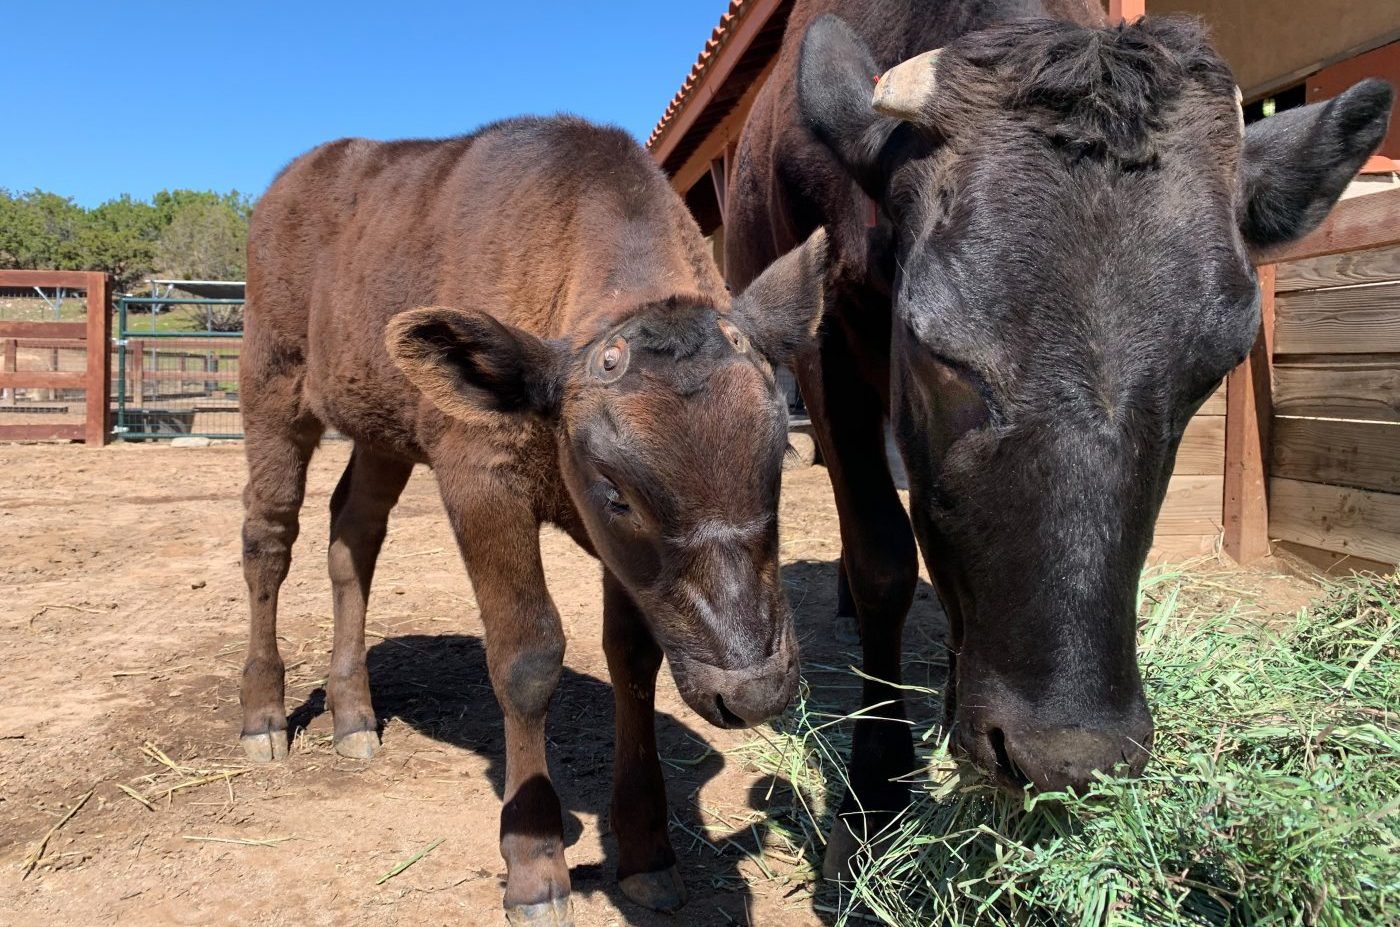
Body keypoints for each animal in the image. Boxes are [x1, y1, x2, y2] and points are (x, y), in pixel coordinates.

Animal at [238, 115, 827, 925]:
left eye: (779, 458)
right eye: (617, 492)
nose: (754, 690)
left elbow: (633, 657)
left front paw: (647, 851)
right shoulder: (479, 478)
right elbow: (527, 657)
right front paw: (535, 864)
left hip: (383, 427)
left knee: (352, 533)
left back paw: (353, 714)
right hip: (271, 383)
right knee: (270, 534)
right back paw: (263, 713)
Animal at [724, 0, 1393, 879]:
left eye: (1213, 367)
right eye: (932, 346)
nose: (1069, 753)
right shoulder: (825, 351)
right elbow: (885, 559)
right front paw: (875, 794)